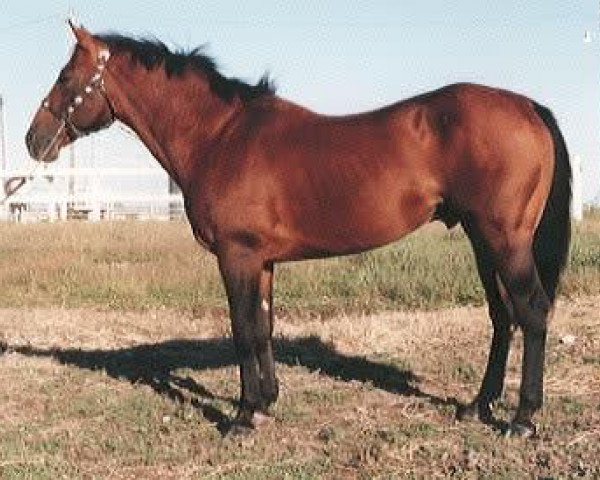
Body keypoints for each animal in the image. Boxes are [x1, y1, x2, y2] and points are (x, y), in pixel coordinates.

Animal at [27, 24, 572, 436]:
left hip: (504, 239)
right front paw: (267, 401)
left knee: (531, 311)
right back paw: (478, 405)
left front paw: (243, 416)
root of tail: (528, 107)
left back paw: (522, 419)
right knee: (502, 316)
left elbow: (243, 329)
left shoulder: (237, 256)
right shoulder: (263, 260)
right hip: (482, 240)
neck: (221, 136)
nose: (35, 140)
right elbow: (263, 326)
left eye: (66, 75)